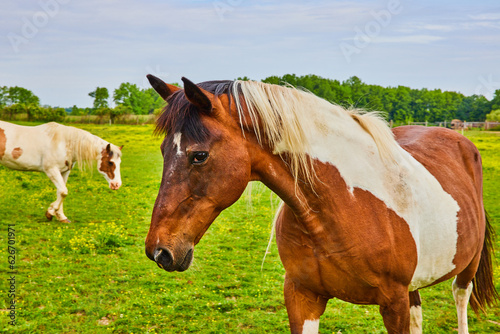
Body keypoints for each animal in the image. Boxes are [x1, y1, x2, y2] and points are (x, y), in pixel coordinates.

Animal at [144, 75, 496, 334]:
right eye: (162, 151)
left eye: (199, 155)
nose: (159, 251)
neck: (340, 207)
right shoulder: (302, 296)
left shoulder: (393, 302)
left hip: (466, 266)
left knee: (460, 298)